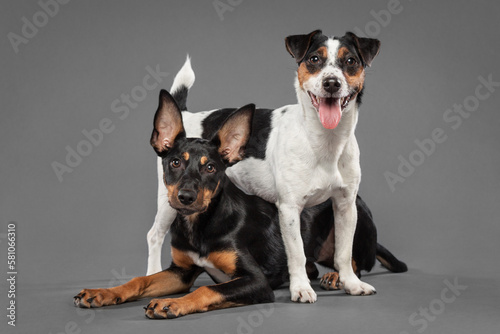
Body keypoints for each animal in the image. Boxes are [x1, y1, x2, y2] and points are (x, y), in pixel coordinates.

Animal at [72, 90, 404, 320]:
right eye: (175, 162)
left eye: (210, 168)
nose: (186, 197)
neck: (201, 225)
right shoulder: (181, 271)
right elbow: (139, 280)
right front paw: (102, 294)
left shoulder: (255, 281)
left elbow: (208, 288)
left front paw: (170, 303)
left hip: (354, 213)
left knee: (356, 260)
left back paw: (337, 276)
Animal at [146, 30, 388, 302]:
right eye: (314, 59)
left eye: (351, 62)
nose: (332, 83)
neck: (325, 141)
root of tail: (186, 115)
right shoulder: (290, 209)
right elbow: (296, 253)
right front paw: (301, 288)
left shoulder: (346, 206)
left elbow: (344, 253)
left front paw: (351, 283)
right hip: (169, 200)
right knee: (155, 235)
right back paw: (151, 273)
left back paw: (335, 276)